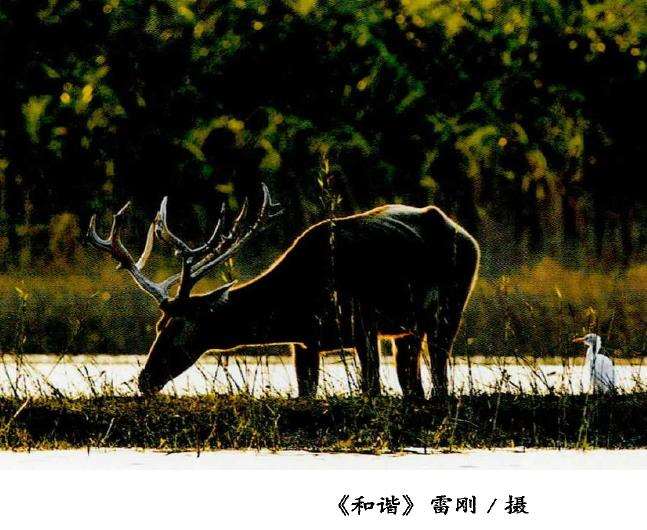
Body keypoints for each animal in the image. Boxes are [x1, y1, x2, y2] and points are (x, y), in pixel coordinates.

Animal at [87, 184, 480, 399]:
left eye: (180, 325)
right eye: (158, 325)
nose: (145, 379)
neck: (300, 301)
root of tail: (467, 236)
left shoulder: (364, 321)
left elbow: (371, 388)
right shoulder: (305, 341)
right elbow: (306, 391)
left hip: (451, 307)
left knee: (439, 371)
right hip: (406, 330)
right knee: (413, 381)